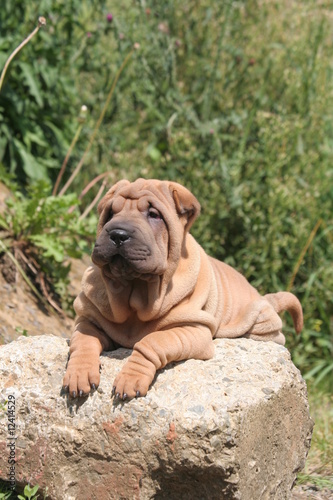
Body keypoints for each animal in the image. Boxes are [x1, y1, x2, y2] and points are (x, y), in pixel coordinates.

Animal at [61, 178, 300, 400]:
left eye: (154, 215)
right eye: (111, 213)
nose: (118, 234)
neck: (136, 290)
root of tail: (265, 297)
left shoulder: (192, 329)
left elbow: (152, 342)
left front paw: (131, 377)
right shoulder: (88, 318)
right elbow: (83, 342)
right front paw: (79, 373)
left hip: (261, 324)